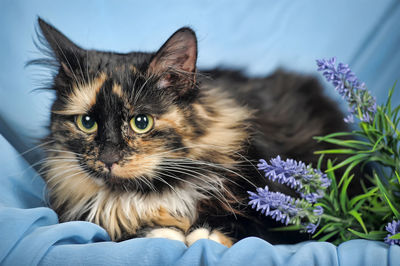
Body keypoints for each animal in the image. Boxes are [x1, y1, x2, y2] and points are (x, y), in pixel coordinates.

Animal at [33, 17, 346, 247]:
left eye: (141, 122)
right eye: (87, 122)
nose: (109, 158)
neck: (150, 192)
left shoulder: (288, 207)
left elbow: (257, 222)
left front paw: (205, 232)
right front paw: (162, 232)